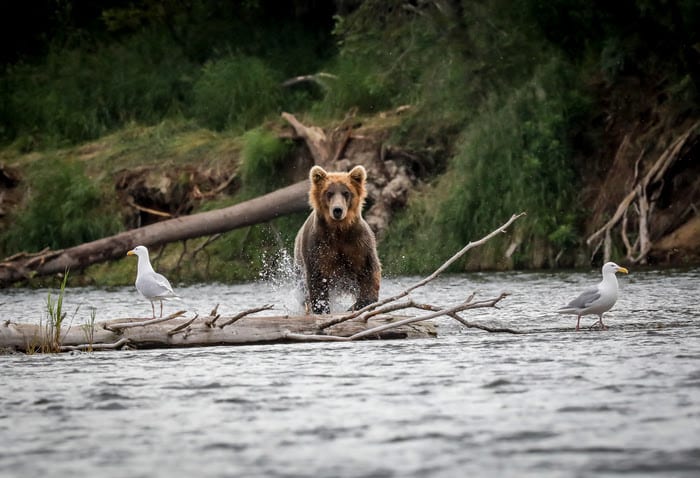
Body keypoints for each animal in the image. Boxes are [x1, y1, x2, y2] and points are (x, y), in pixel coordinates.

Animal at [296, 164, 382, 314]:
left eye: (346, 192)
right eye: (329, 193)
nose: (337, 210)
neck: (339, 229)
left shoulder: (358, 243)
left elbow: (369, 271)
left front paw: (357, 305)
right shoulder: (319, 245)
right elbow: (317, 278)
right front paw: (322, 308)